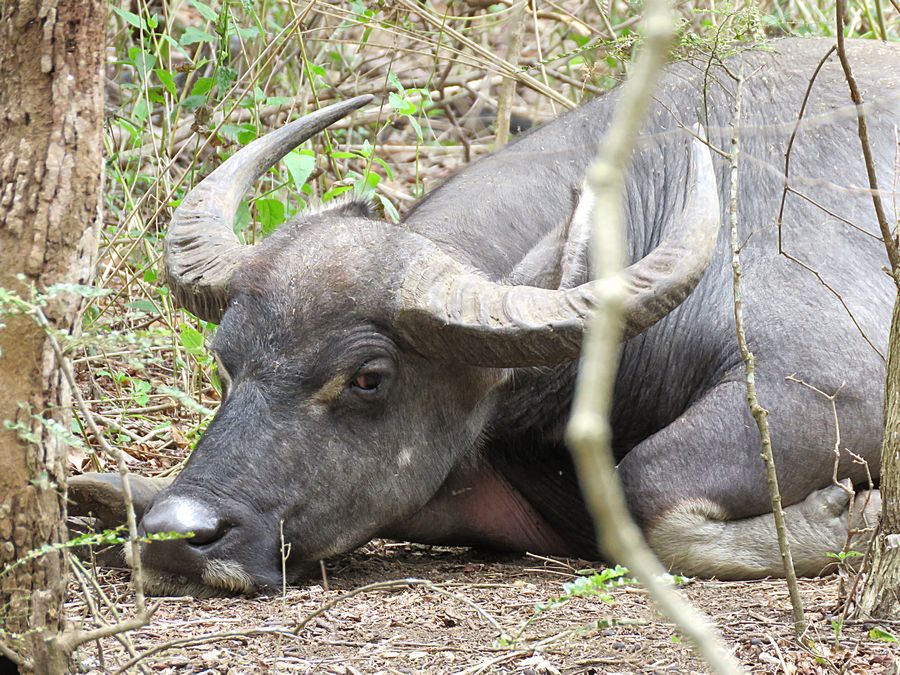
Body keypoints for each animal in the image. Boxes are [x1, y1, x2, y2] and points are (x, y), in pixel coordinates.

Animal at [71, 38, 898, 596]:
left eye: (368, 377)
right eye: (226, 359)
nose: (181, 538)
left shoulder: (836, 384)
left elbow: (648, 482)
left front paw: (849, 517)